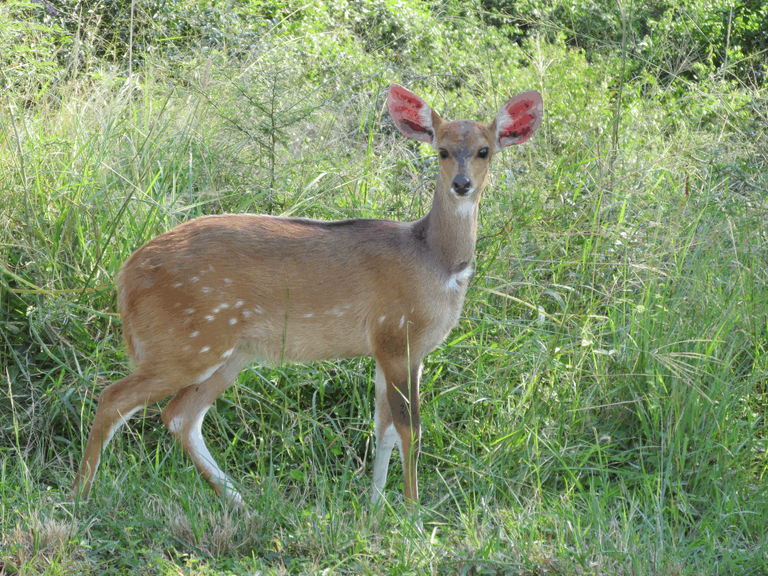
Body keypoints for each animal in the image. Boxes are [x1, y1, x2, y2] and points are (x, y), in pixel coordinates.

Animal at [72, 82, 540, 512]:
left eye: (484, 151)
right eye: (441, 150)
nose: (462, 184)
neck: (437, 263)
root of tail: (125, 278)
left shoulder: (396, 349)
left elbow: (383, 427)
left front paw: (374, 509)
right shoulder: (397, 337)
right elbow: (410, 427)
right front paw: (411, 514)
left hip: (233, 352)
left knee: (180, 416)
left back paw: (245, 504)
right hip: (187, 343)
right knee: (115, 398)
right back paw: (82, 497)